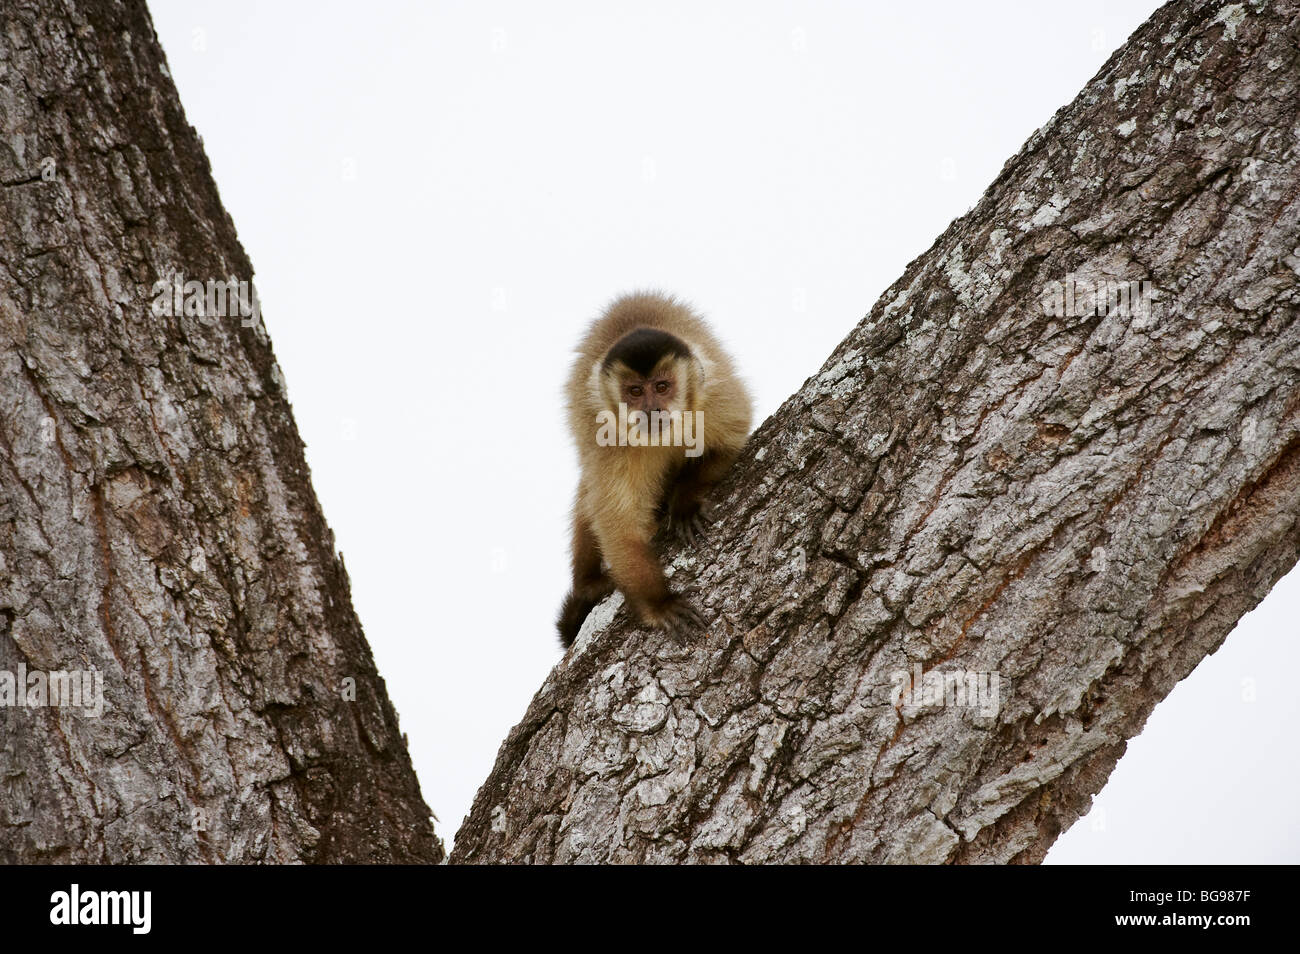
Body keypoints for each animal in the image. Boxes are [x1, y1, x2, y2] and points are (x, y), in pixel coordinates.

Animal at [556, 291, 754, 649]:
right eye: (635, 392)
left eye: (662, 387)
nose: (652, 410)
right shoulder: (608, 436)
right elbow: (619, 524)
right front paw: (658, 603)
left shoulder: (715, 397)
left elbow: (731, 441)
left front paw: (685, 500)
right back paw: (588, 583)